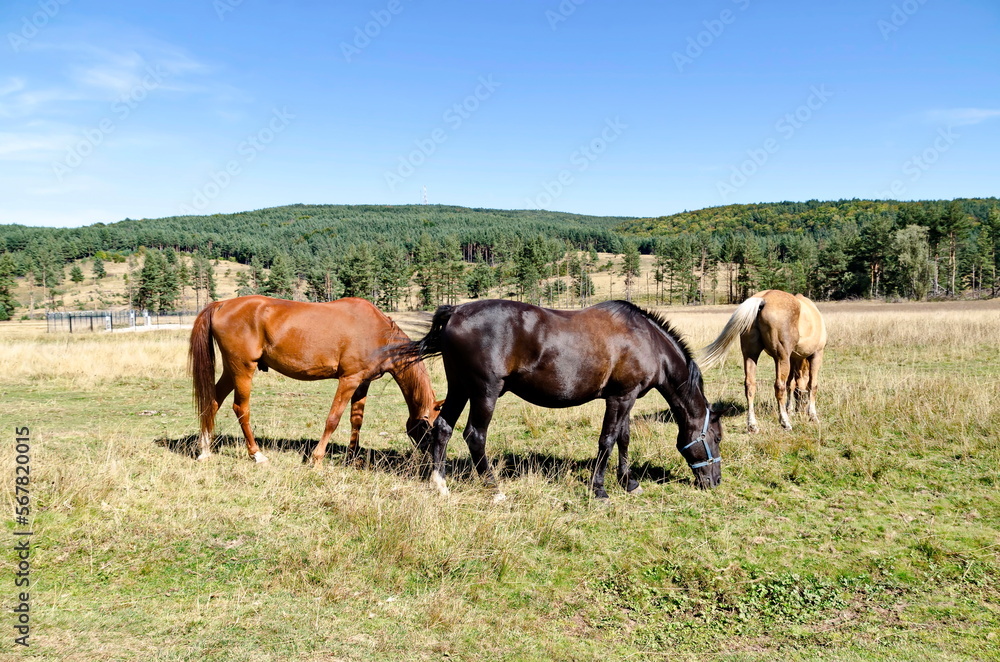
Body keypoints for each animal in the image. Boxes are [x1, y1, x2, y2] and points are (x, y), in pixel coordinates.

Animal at [189, 298, 440, 464]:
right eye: (430, 429)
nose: (430, 460)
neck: (378, 332)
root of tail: (222, 304)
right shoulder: (349, 379)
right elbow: (333, 419)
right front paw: (317, 458)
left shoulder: (363, 383)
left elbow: (356, 420)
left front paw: (353, 456)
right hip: (242, 369)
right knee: (241, 408)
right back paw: (257, 454)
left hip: (231, 370)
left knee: (212, 403)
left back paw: (205, 449)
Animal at [394, 300, 724, 498]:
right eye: (717, 437)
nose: (716, 481)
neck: (647, 340)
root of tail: (456, 312)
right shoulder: (619, 399)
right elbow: (607, 440)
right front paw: (599, 489)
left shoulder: (627, 398)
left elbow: (623, 438)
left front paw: (629, 482)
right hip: (484, 392)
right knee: (475, 436)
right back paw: (493, 487)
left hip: (459, 389)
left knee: (443, 428)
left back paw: (440, 483)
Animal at [696, 290, 828, 436]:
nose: (801, 409)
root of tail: (763, 299)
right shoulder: (816, 354)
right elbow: (812, 385)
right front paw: (812, 415)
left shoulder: (793, 358)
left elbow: (791, 384)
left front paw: (791, 409)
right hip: (781, 357)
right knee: (779, 386)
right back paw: (785, 422)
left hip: (750, 355)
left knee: (750, 385)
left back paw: (752, 425)